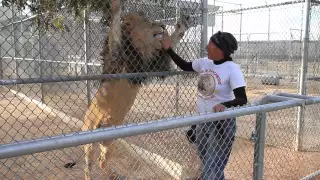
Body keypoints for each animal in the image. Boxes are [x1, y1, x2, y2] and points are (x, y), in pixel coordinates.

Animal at [69, 0, 190, 179]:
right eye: (149, 22)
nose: (163, 26)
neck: (140, 47)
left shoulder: (151, 65)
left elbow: (170, 44)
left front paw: (182, 26)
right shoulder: (116, 56)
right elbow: (114, 30)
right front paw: (116, 7)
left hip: (110, 143)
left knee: (102, 160)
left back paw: (110, 172)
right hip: (89, 137)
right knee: (88, 164)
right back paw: (90, 173)